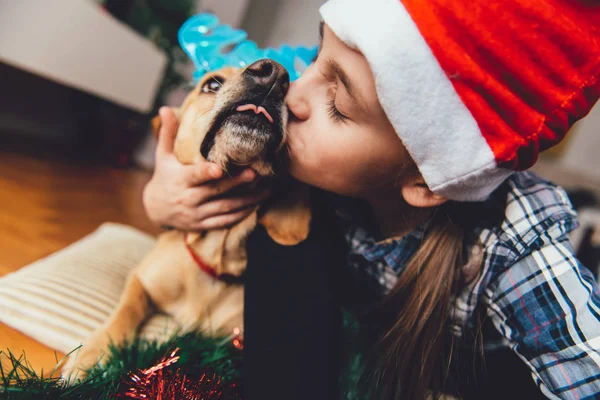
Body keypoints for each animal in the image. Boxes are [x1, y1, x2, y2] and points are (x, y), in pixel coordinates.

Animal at [61, 59, 312, 382]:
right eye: (212, 84)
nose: (274, 74)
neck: (216, 252)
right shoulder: (140, 280)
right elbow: (127, 308)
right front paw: (93, 355)